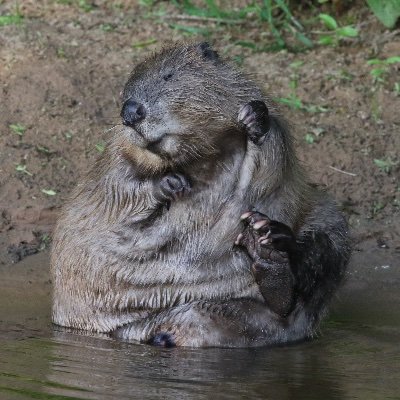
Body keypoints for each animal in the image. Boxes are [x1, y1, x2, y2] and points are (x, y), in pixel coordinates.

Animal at [50, 41, 350, 346]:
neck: (202, 160)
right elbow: (118, 189)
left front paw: (254, 118)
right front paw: (171, 183)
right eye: (124, 93)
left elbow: (273, 154)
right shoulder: (115, 156)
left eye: (168, 76)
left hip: (329, 221)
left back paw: (267, 242)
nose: (131, 111)